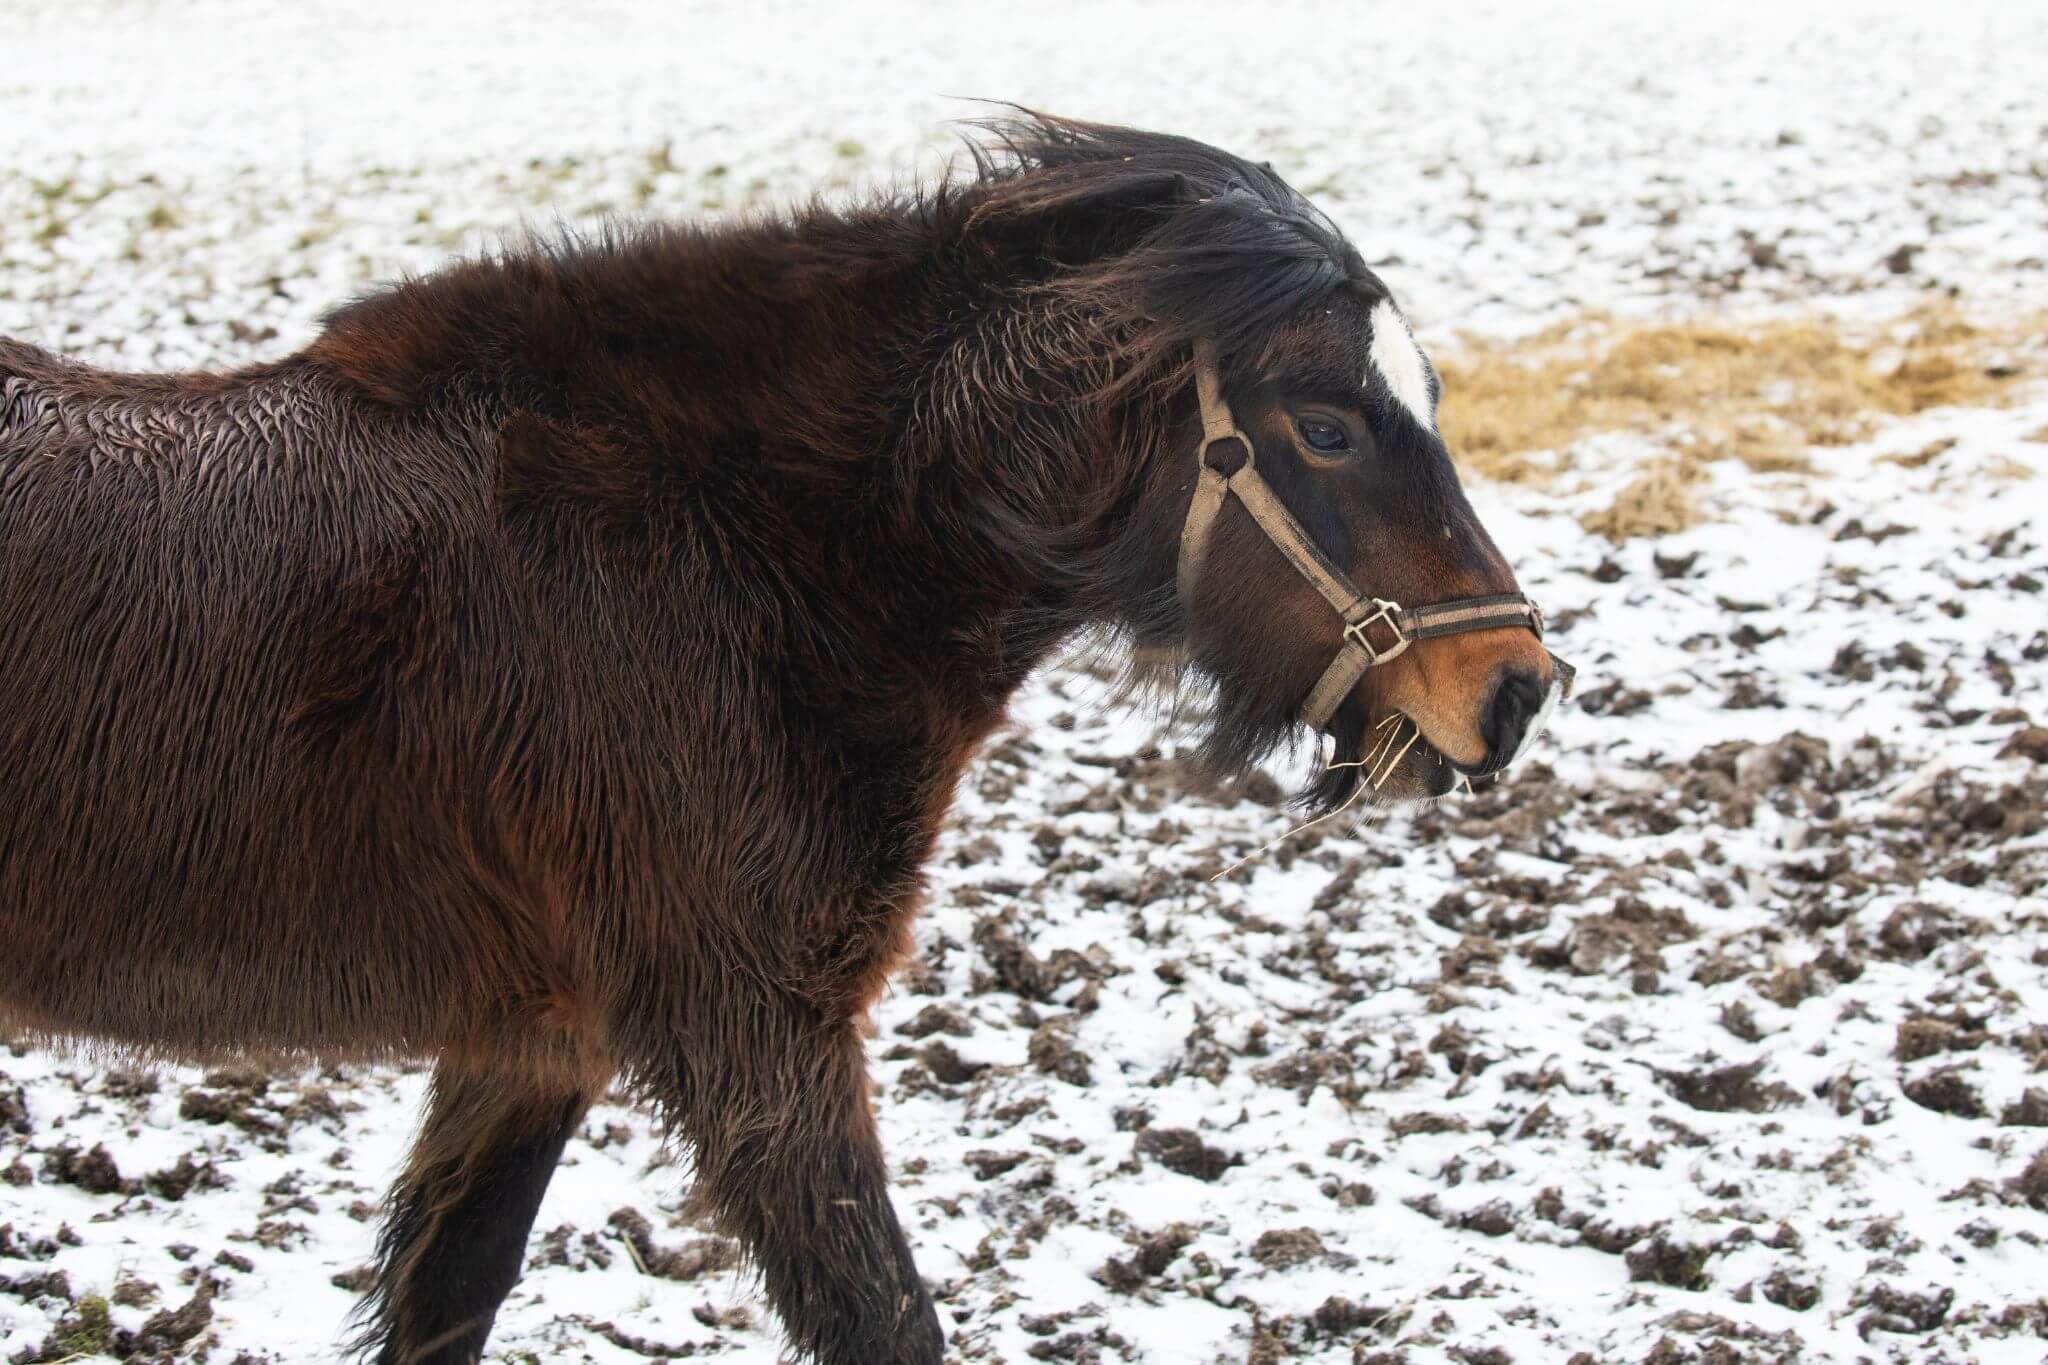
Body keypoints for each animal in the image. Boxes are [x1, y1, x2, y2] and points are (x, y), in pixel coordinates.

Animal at [4, 120, 1564, 1365]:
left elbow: (448, 1304)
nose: (1510, 688)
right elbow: (882, 1319)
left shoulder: (532, 1042)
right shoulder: (758, 1038)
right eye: (1326, 427)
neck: (741, 552)